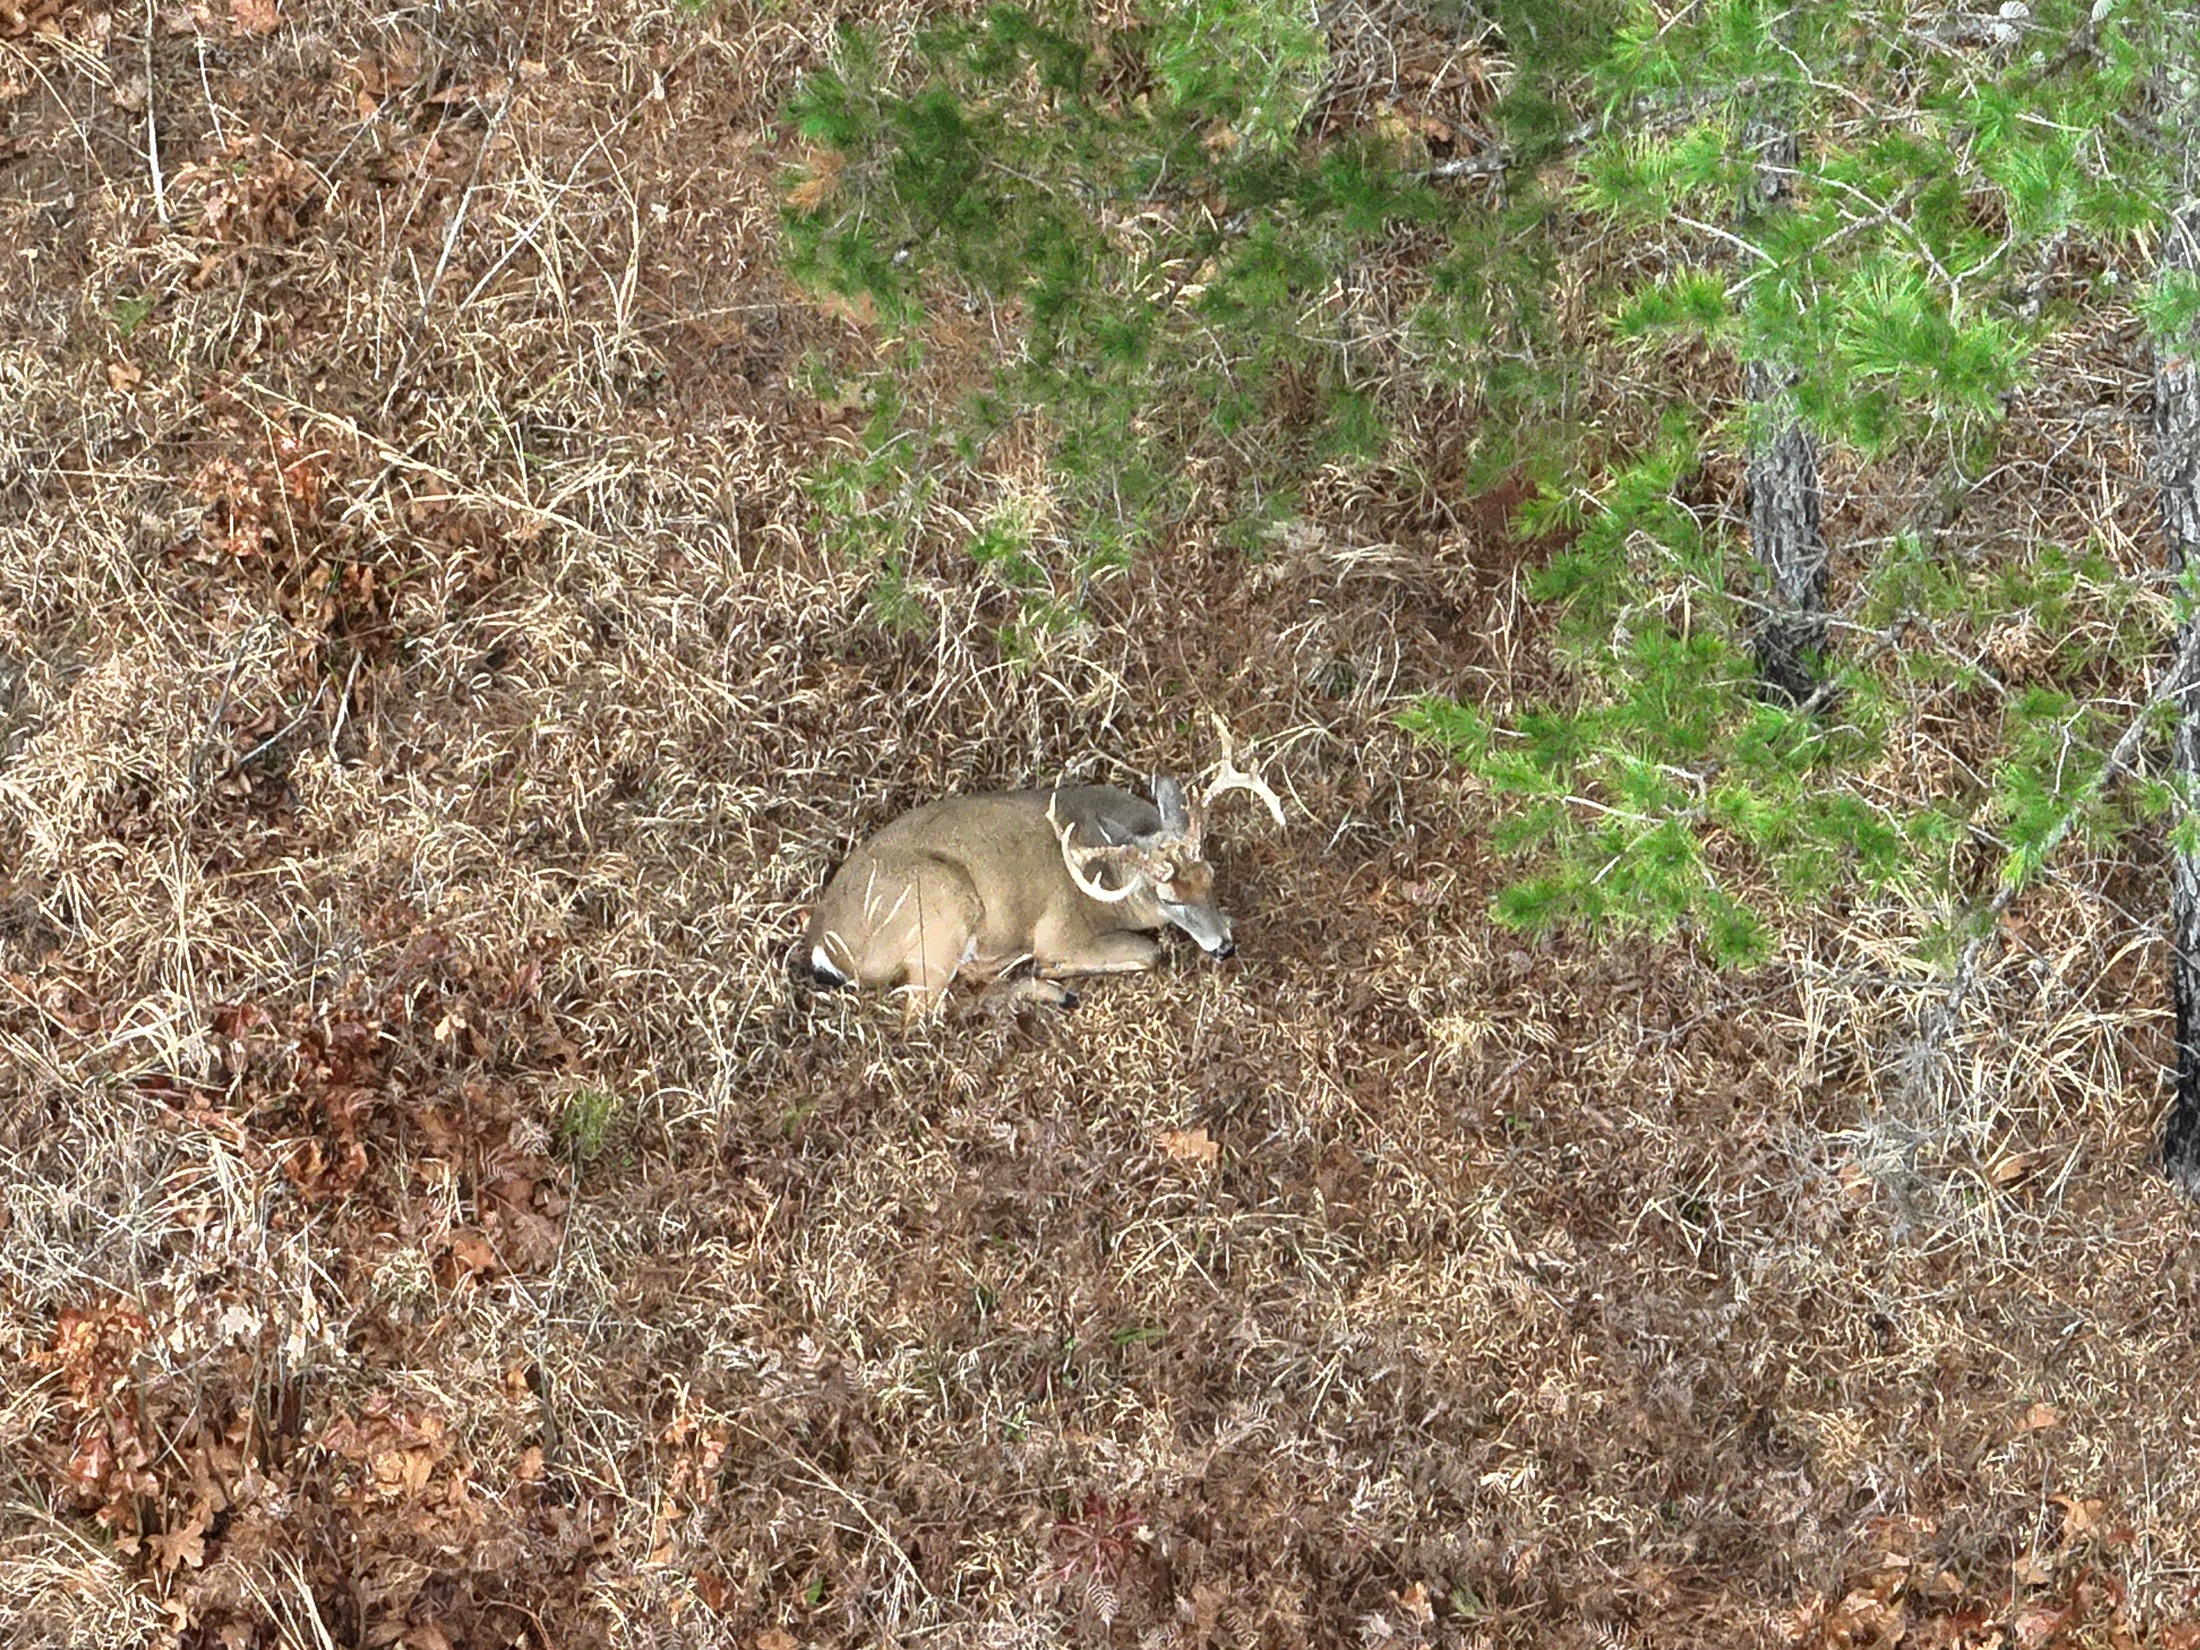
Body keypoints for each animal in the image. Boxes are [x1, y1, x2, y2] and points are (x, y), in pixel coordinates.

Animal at [795, 751, 1286, 1015]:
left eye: (1210, 876)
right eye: (1168, 898)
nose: (1225, 947)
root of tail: (824, 943)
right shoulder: (1059, 929)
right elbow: (1149, 952)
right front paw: (1052, 968)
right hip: (941, 902)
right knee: (926, 1015)